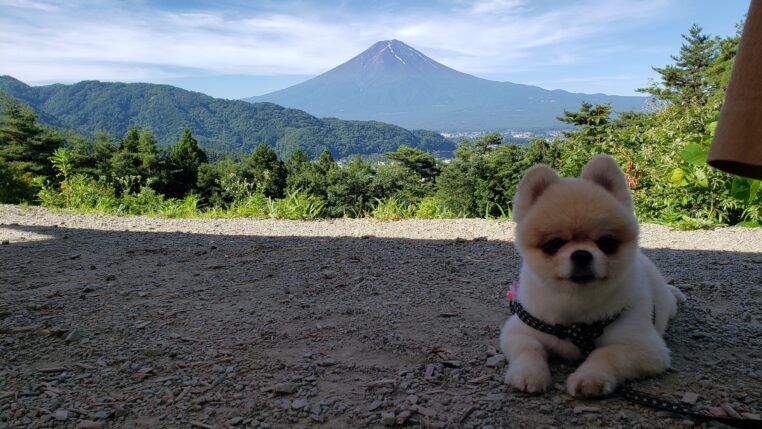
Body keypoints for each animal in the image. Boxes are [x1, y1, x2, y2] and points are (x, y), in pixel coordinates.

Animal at [498, 155, 684, 396]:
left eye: (606, 242)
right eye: (554, 244)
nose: (581, 254)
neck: (576, 310)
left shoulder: (645, 347)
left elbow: (607, 354)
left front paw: (590, 377)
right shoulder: (520, 329)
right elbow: (529, 349)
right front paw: (529, 373)